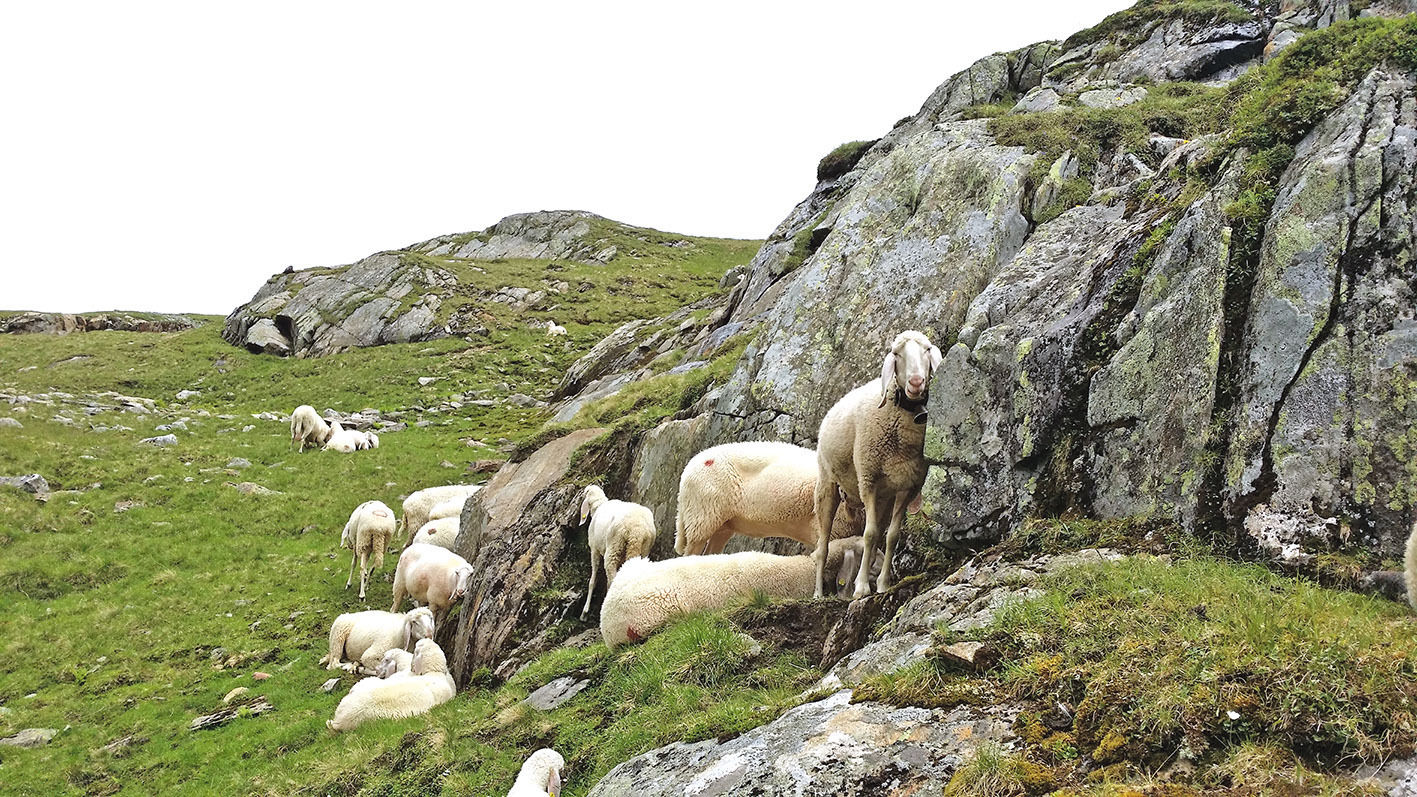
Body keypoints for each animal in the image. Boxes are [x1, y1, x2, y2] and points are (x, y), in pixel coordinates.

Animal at [575, 485, 657, 621]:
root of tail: (637, 529)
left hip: (614, 548)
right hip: (644, 548)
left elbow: (592, 580)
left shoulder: (594, 549)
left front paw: (585, 612)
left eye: (585, 492)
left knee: (612, 577)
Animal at [821, 327, 940, 595]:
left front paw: (884, 585)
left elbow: (891, 536)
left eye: (927, 349)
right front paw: (862, 588)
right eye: (896, 353)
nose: (916, 382)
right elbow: (870, 533)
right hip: (827, 486)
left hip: (884, 498)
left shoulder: (908, 486)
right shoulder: (868, 480)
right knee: (822, 546)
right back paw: (818, 593)